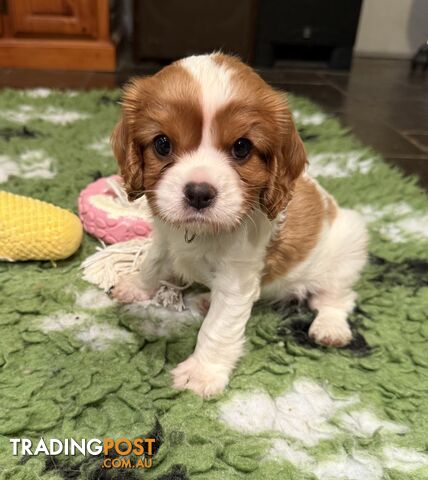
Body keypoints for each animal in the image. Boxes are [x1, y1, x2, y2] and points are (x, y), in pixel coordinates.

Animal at [111, 52, 368, 398]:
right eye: (162, 144)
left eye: (242, 147)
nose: (199, 193)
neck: (200, 234)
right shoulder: (165, 240)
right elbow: (152, 264)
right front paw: (136, 287)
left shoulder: (237, 278)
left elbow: (217, 327)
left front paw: (202, 373)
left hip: (347, 246)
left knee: (336, 298)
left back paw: (330, 327)